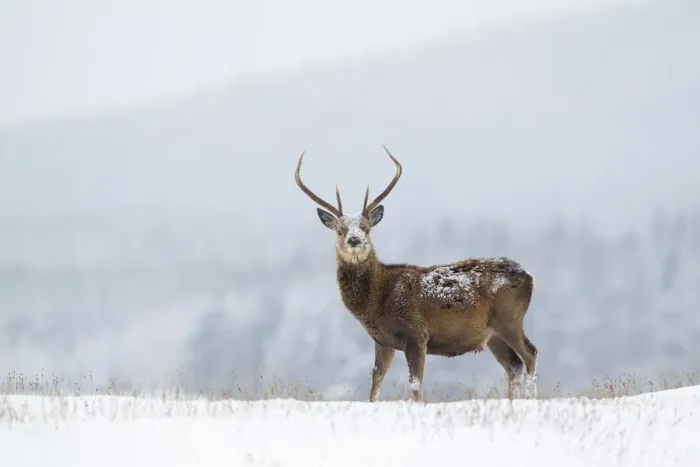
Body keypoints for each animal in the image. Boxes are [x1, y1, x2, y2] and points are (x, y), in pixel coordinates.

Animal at [294, 146, 538, 402]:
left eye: (366, 229)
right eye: (340, 231)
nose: (354, 240)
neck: (378, 300)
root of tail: (529, 277)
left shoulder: (415, 333)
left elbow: (415, 384)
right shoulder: (382, 341)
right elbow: (375, 383)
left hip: (509, 318)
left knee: (530, 354)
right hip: (492, 334)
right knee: (514, 366)